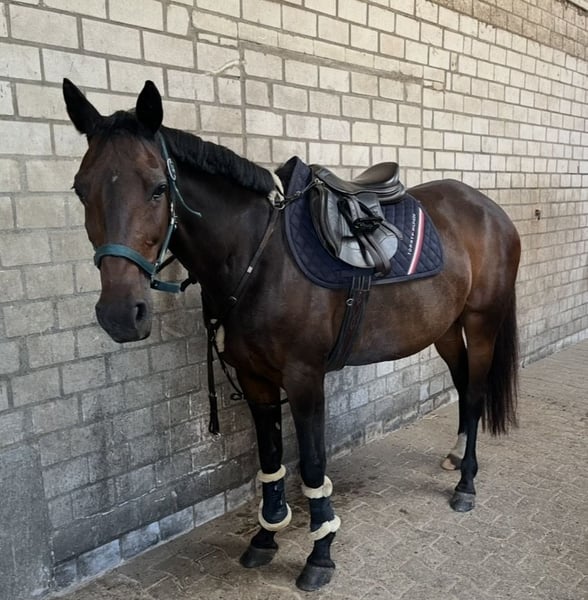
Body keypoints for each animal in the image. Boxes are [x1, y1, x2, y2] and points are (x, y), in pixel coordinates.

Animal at [62, 79, 520, 591]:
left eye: (159, 188)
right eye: (81, 189)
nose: (121, 314)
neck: (258, 257)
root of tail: (489, 210)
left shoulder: (304, 380)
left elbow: (314, 463)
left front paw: (320, 554)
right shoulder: (255, 379)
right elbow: (270, 458)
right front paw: (266, 536)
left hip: (482, 323)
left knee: (476, 392)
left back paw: (466, 483)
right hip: (444, 328)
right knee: (462, 386)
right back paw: (456, 457)